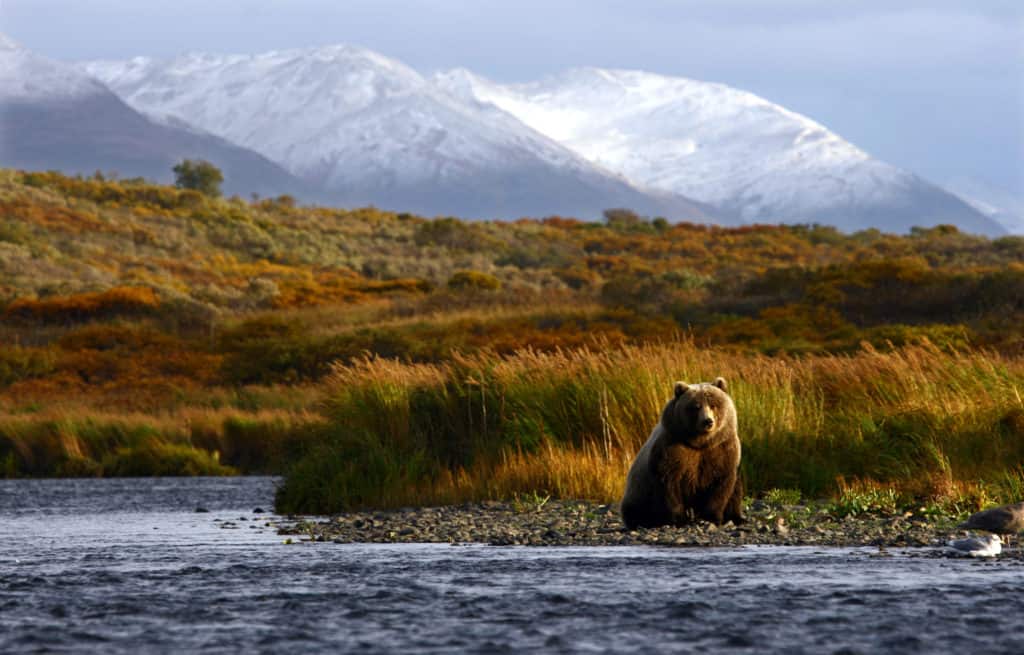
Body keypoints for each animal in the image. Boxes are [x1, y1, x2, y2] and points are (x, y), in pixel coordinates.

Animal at [614, 376, 745, 528]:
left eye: (713, 405)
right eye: (696, 406)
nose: (708, 421)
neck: (700, 443)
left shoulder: (721, 448)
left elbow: (720, 484)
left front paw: (711, 517)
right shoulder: (673, 448)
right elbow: (669, 483)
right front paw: (679, 519)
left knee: (736, 490)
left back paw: (737, 518)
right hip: (639, 491)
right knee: (637, 509)